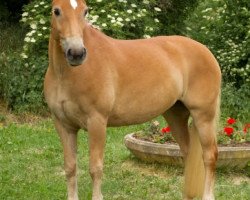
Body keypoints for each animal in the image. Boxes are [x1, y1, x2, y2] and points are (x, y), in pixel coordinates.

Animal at [44, 0, 221, 200]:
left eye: (85, 11)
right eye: (56, 11)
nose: (76, 53)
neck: (66, 75)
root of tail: (205, 51)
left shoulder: (97, 122)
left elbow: (95, 168)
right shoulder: (64, 126)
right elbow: (70, 167)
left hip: (204, 116)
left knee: (209, 155)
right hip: (176, 115)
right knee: (189, 155)